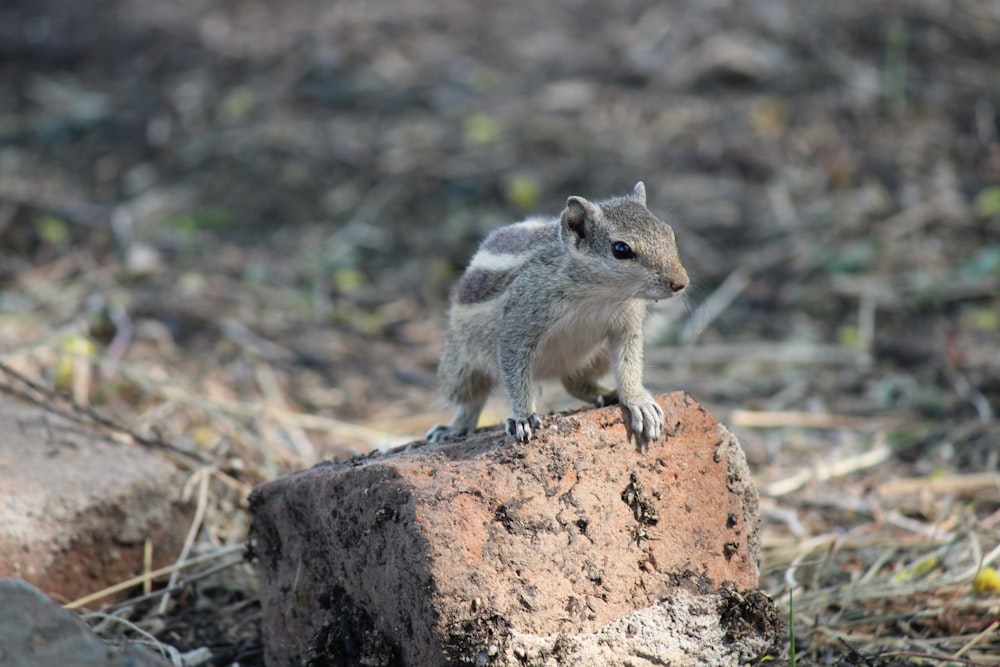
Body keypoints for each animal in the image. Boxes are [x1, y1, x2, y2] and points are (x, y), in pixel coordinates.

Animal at [422, 180, 688, 446]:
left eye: (669, 232)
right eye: (621, 249)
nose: (681, 283)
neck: (599, 294)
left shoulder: (626, 327)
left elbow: (628, 365)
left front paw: (638, 401)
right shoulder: (519, 325)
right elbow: (514, 370)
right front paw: (522, 416)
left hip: (596, 356)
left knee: (574, 383)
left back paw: (608, 394)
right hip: (459, 368)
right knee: (471, 401)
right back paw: (453, 428)